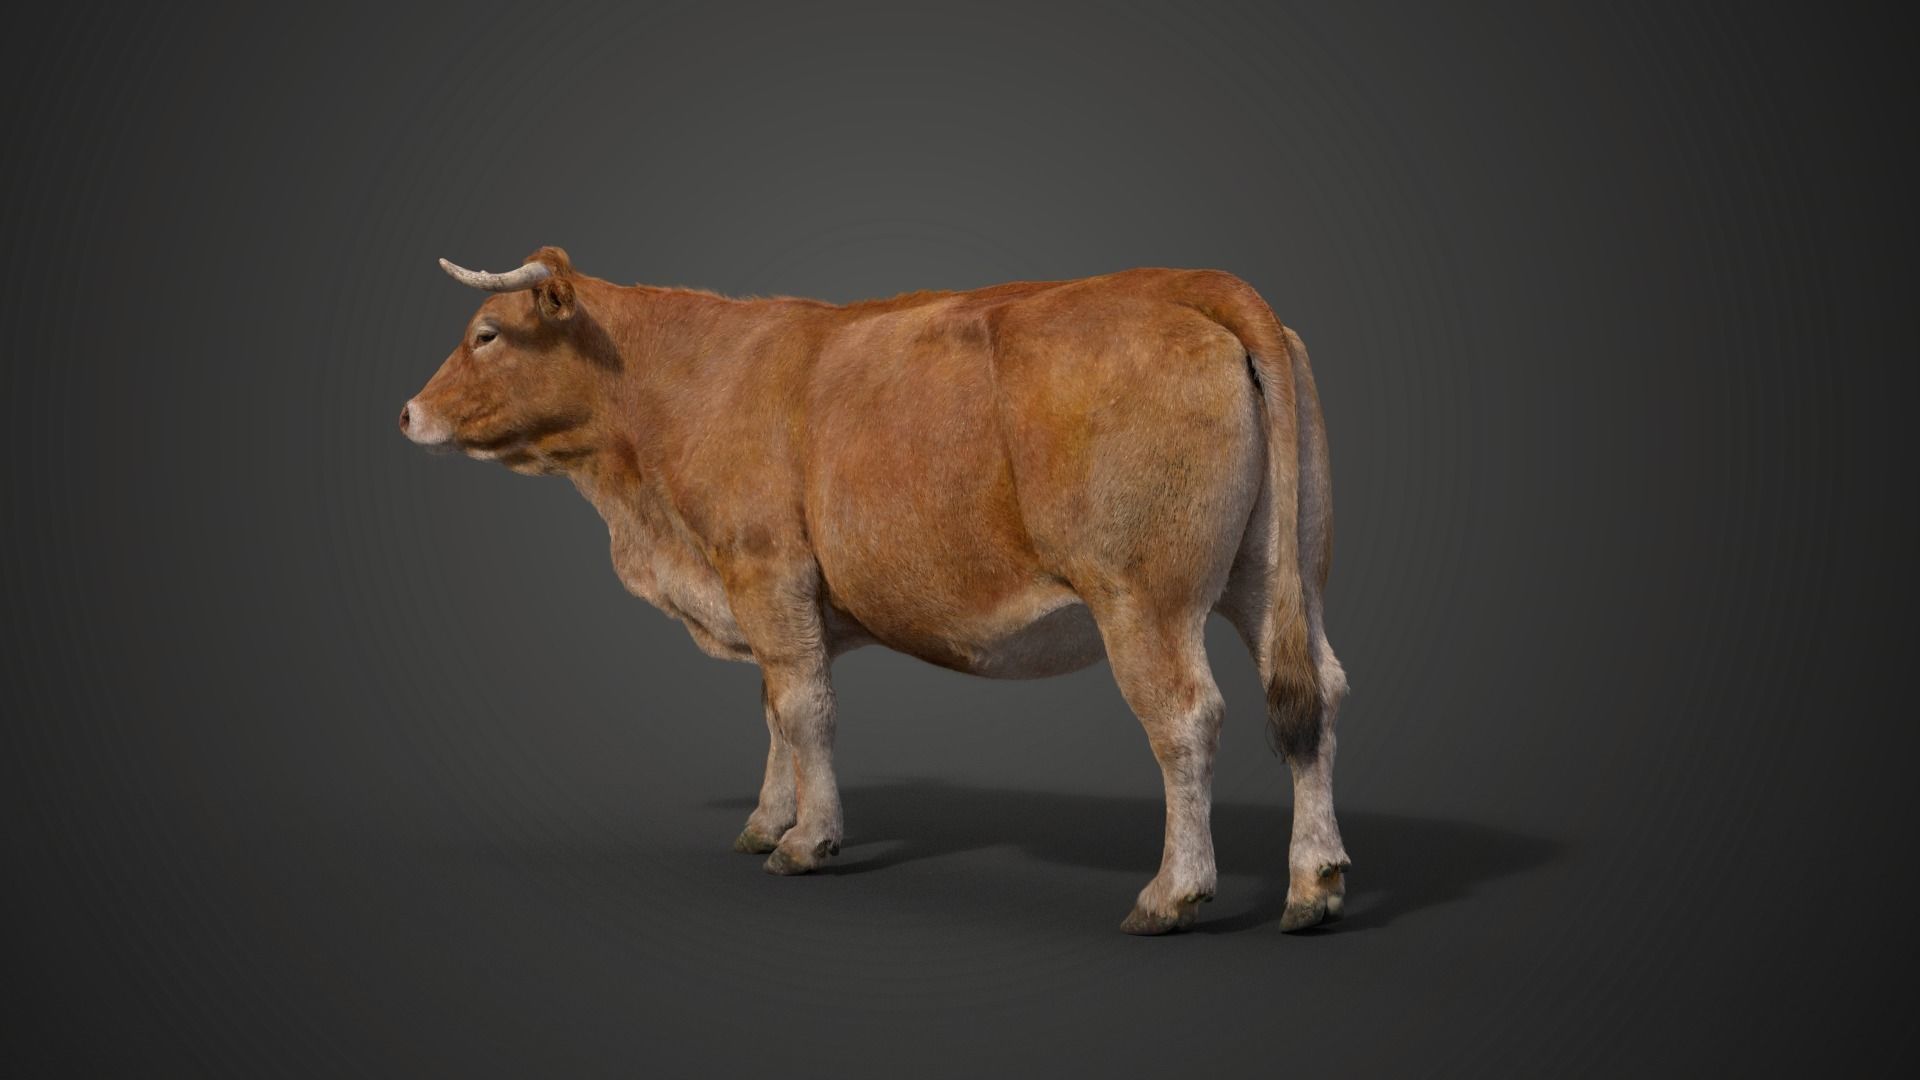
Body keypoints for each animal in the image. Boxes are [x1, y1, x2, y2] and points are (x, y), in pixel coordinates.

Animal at [398, 247, 1350, 934]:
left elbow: (803, 709)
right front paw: (766, 823)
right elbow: (776, 709)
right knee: (1316, 697)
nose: (406, 412)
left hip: (1144, 595)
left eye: (486, 333)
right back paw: (1315, 883)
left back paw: (1172, 894)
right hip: (1279, 576)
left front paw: (808, 841)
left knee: (1186, 718)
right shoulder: (763, 593)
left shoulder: (765, 566)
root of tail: (1194, 282)